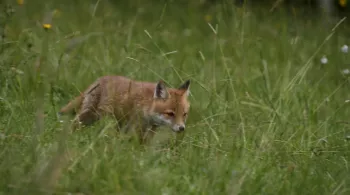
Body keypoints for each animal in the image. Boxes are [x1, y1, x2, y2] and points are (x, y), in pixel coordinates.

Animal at [59, 75, 191, 144]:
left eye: (184, 114)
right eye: (170, 113)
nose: (181, 128)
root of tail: (101, 78)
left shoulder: (150, 129)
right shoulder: (137, 126)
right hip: (91, 116)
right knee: (73, 125)